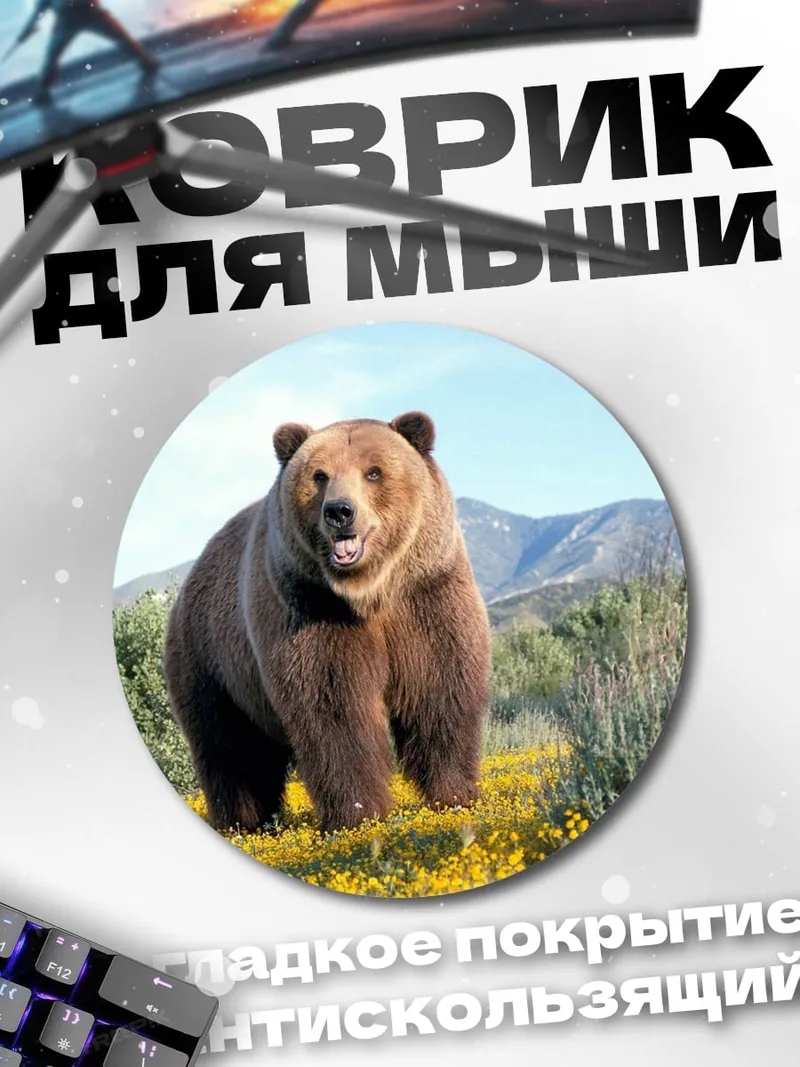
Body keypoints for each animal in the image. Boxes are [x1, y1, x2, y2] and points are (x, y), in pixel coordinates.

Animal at [163, 410, 492, 834]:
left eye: (374, 472)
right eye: (319, 475)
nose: (339, 511)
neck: (369, 592)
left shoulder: (427, 595)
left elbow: (439, 690)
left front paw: (454, 796)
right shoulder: (310, 609)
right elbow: (334, 709)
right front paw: (359, 813)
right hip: (212, 662)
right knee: (230, 748)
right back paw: (242, 822)